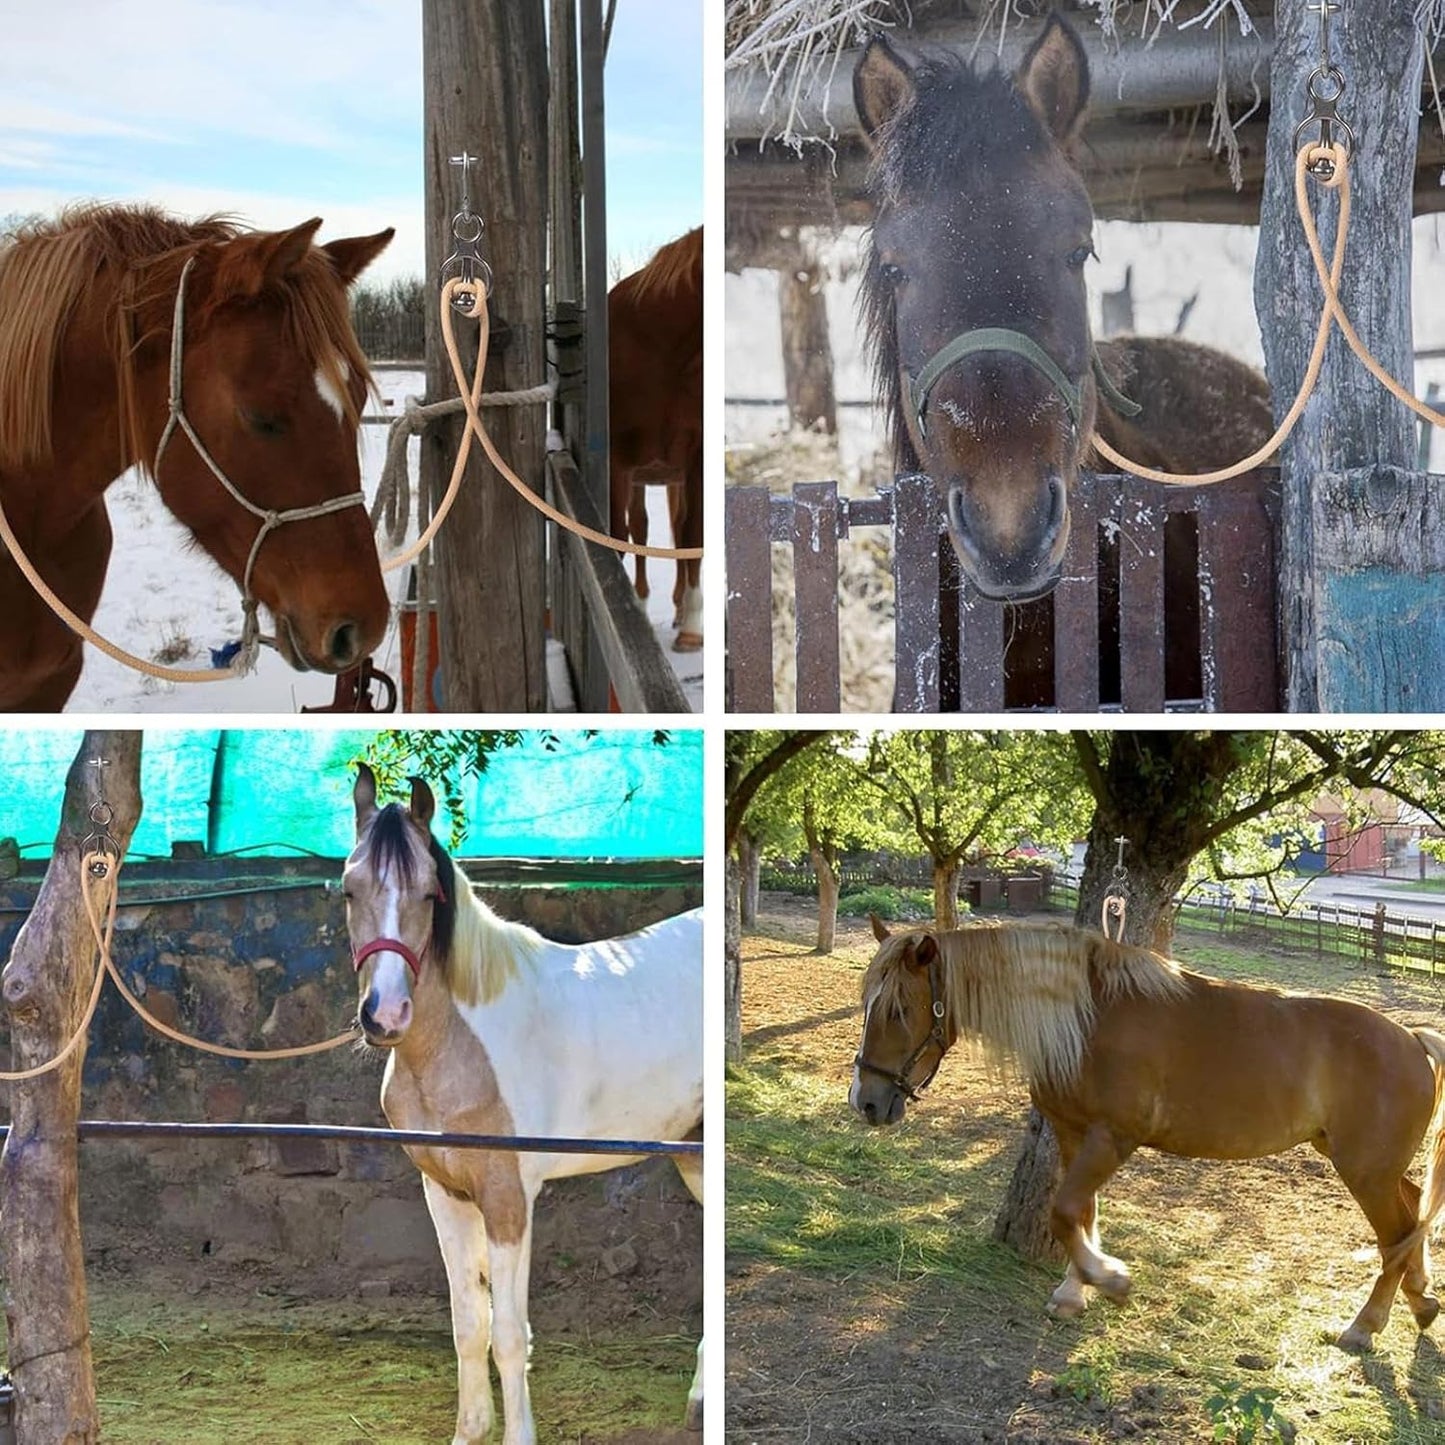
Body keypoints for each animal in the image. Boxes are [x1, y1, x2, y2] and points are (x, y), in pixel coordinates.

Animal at [344, 764, 704, 1445]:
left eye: (429, 895)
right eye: (349, 890)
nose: (385, 1015)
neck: (465, 1045)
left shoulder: (509, 1198)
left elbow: (509, 1334)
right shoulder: (447, 1194)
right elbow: (469, 1325)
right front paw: (470, 1430)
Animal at [851, 916, 1445, 1352]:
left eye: (899, 1009)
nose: (866, 1101)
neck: (1088, 1020)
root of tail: (1412, 1038)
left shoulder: (1112, 1138)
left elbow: (1065, 1211)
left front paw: (1110, 1279)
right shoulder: (1074, 1134)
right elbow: (1081, 1213)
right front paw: (1074, 1291)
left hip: (1364, 1171)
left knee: (1396, 1234)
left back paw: (1365, 1325)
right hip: (1366, 1163)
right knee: (1414, 1208)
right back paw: (1421, 1300)